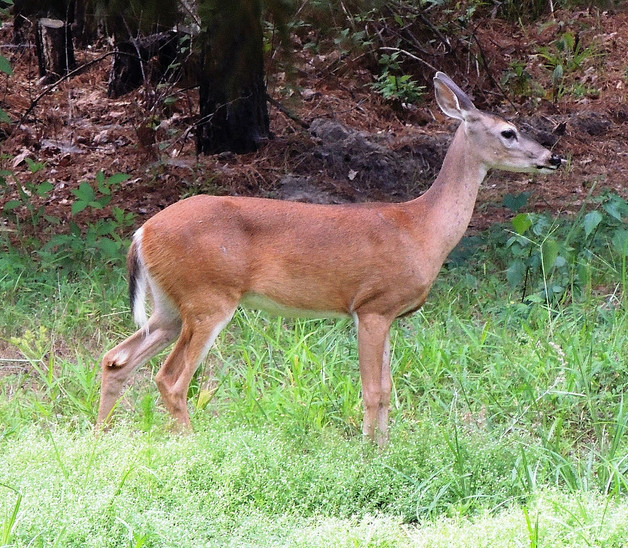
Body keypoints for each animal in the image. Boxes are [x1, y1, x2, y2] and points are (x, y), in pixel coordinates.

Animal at [99, 71, 564, 446]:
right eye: (508, 131)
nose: (552, 157)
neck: (421, 229)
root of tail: (142, 233)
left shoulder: (389, 313)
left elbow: (387, 388)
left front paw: (383, 447)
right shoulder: (372, 305)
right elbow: (373, 390)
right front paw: (369, 451)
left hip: (170, 305)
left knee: (116, 359)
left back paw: (99, 436)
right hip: (208, 296)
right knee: (170, 378)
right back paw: (189, 443)